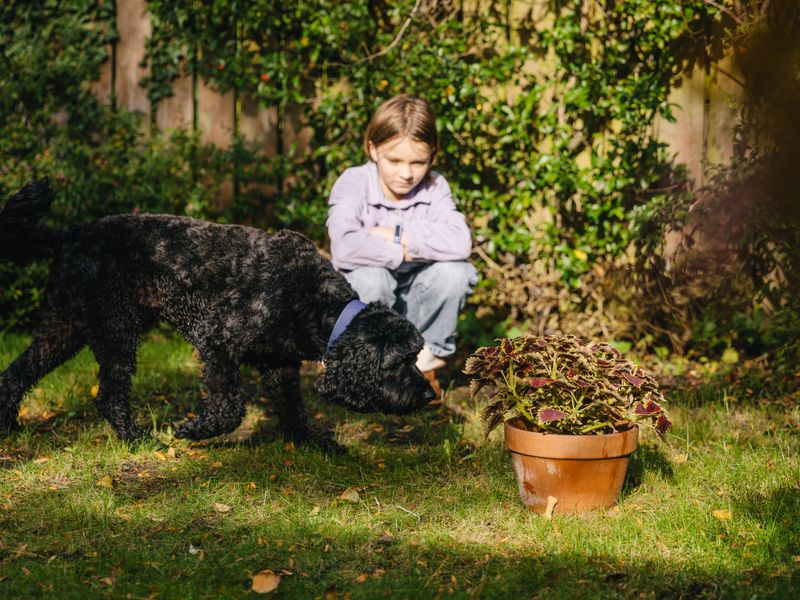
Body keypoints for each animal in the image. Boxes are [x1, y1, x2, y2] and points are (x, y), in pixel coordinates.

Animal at [0, 179, 434, 450]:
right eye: (399, 361)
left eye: (416, 356)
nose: (429, 394)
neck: (314, 300)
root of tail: (68, 235)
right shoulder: (218, 340)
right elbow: (229, 408)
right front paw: (194, 430)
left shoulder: (279, 363)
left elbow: (293, 408)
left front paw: (310, 442)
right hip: (116, 330)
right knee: (109, 395)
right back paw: (137, 438)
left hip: (65, 328)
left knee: (17, 373)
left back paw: (7, 423)